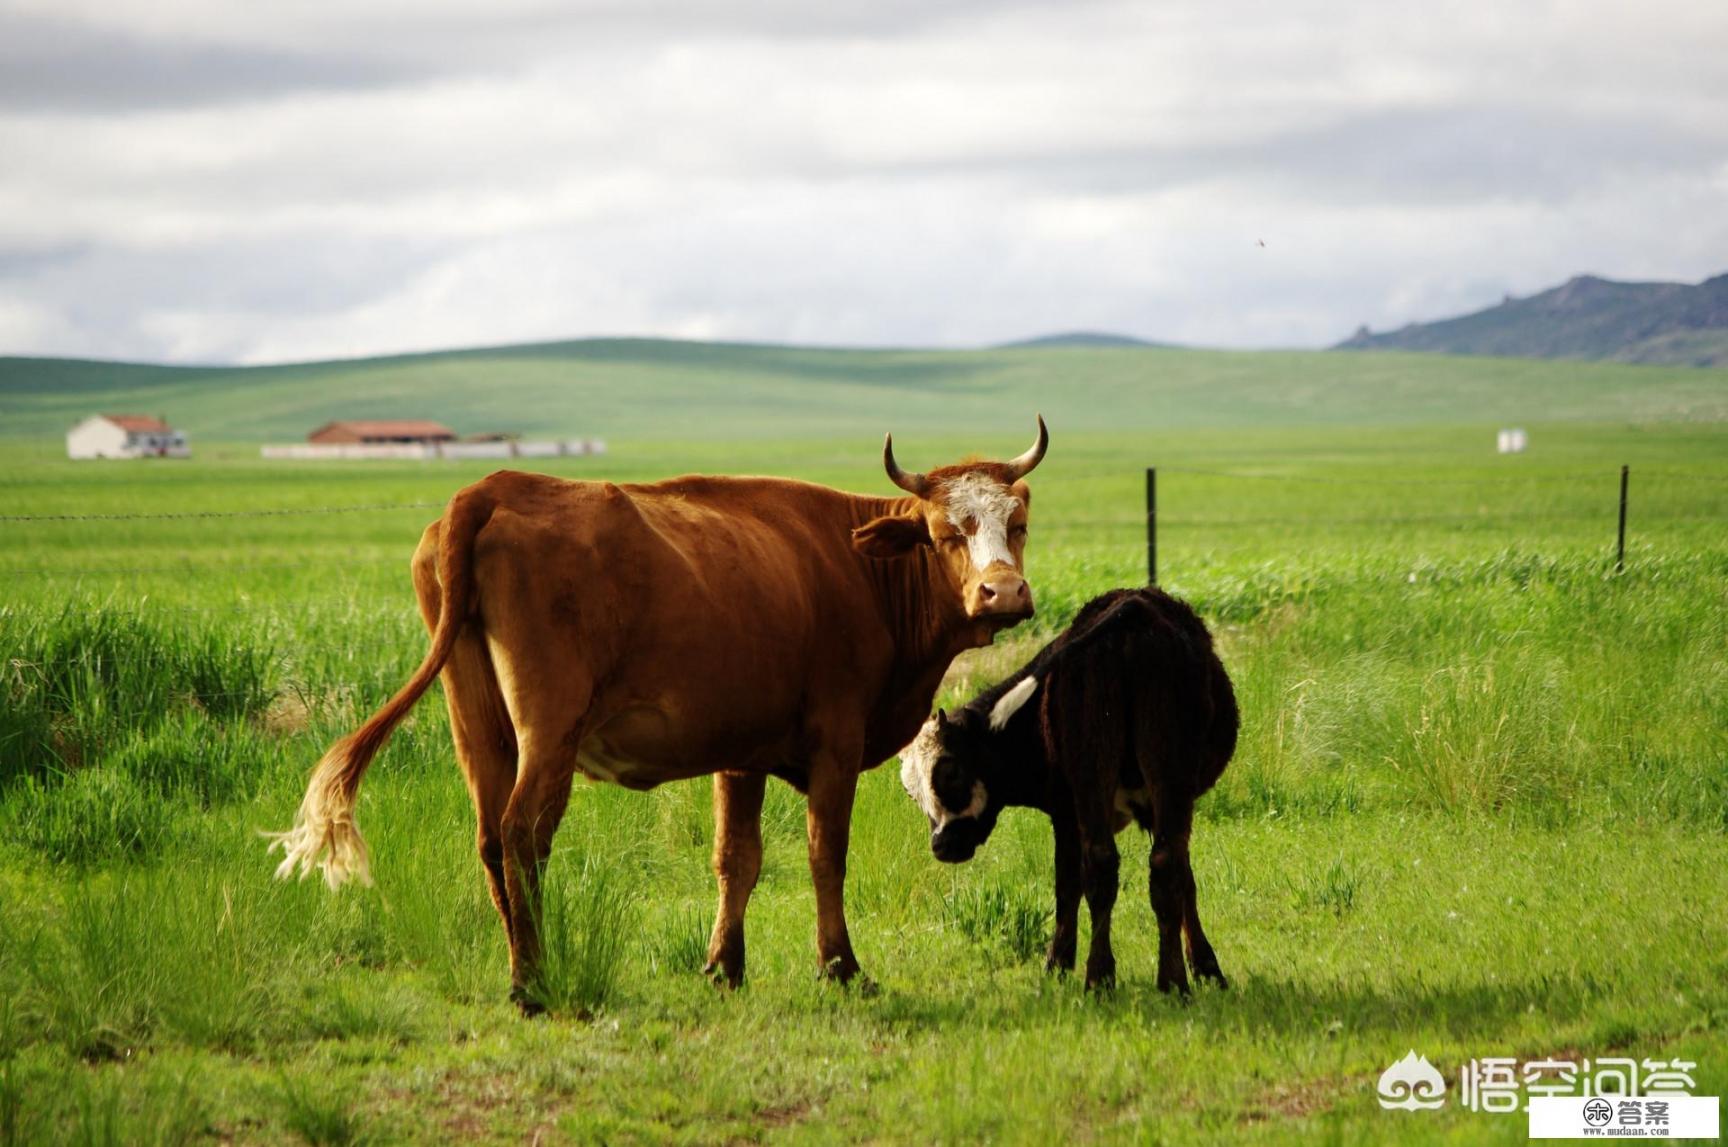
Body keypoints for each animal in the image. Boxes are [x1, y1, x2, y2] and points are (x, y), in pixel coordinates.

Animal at [264, 419, 1043, 1001]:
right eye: (944, 531)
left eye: (1020, 524)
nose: (1003, 593)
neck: (858, 570)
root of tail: (492, 488)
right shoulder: (836, 744)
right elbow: (826, 854)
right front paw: (842, 967)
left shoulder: (742, 751)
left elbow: (737, 858)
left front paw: (724, 966)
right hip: (549, 727)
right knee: (522, 833)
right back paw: (533, 981)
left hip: (478, 724)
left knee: (489, 837)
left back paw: (522, 965)